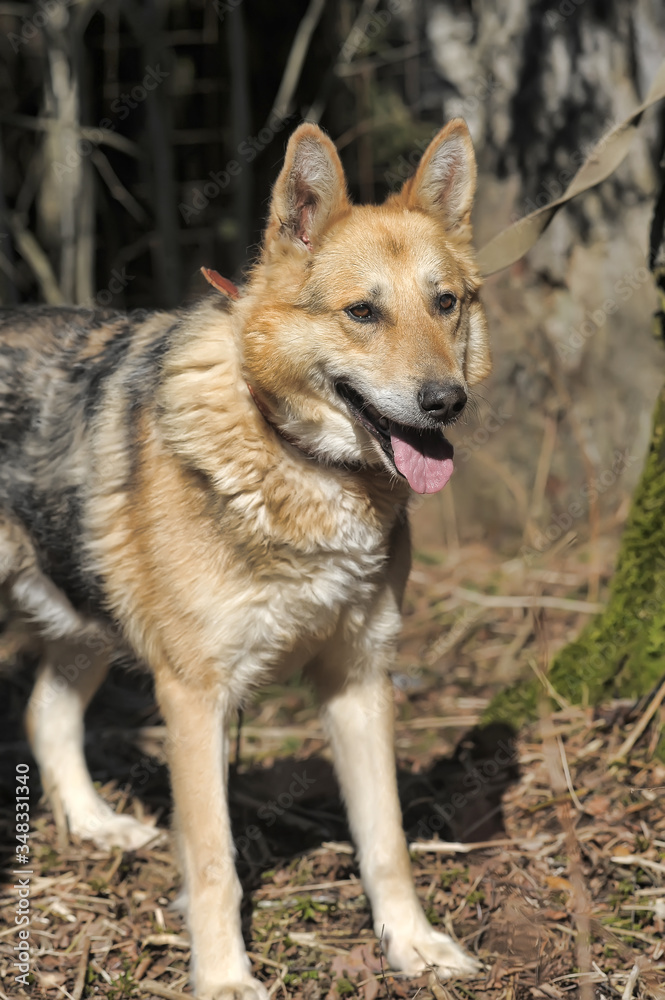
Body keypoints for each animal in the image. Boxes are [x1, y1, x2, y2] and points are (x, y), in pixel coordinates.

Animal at [0, 121, 488, 996]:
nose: (445, 403)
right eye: (362, 312)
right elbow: (214, 864)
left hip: (90, 621)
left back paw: (93, 826)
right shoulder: (194, 698)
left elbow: (387, 843)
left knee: (44, 715)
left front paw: (412, 944)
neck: (295, 460)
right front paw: (224, 978)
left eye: (445, 303)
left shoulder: (359, 681)